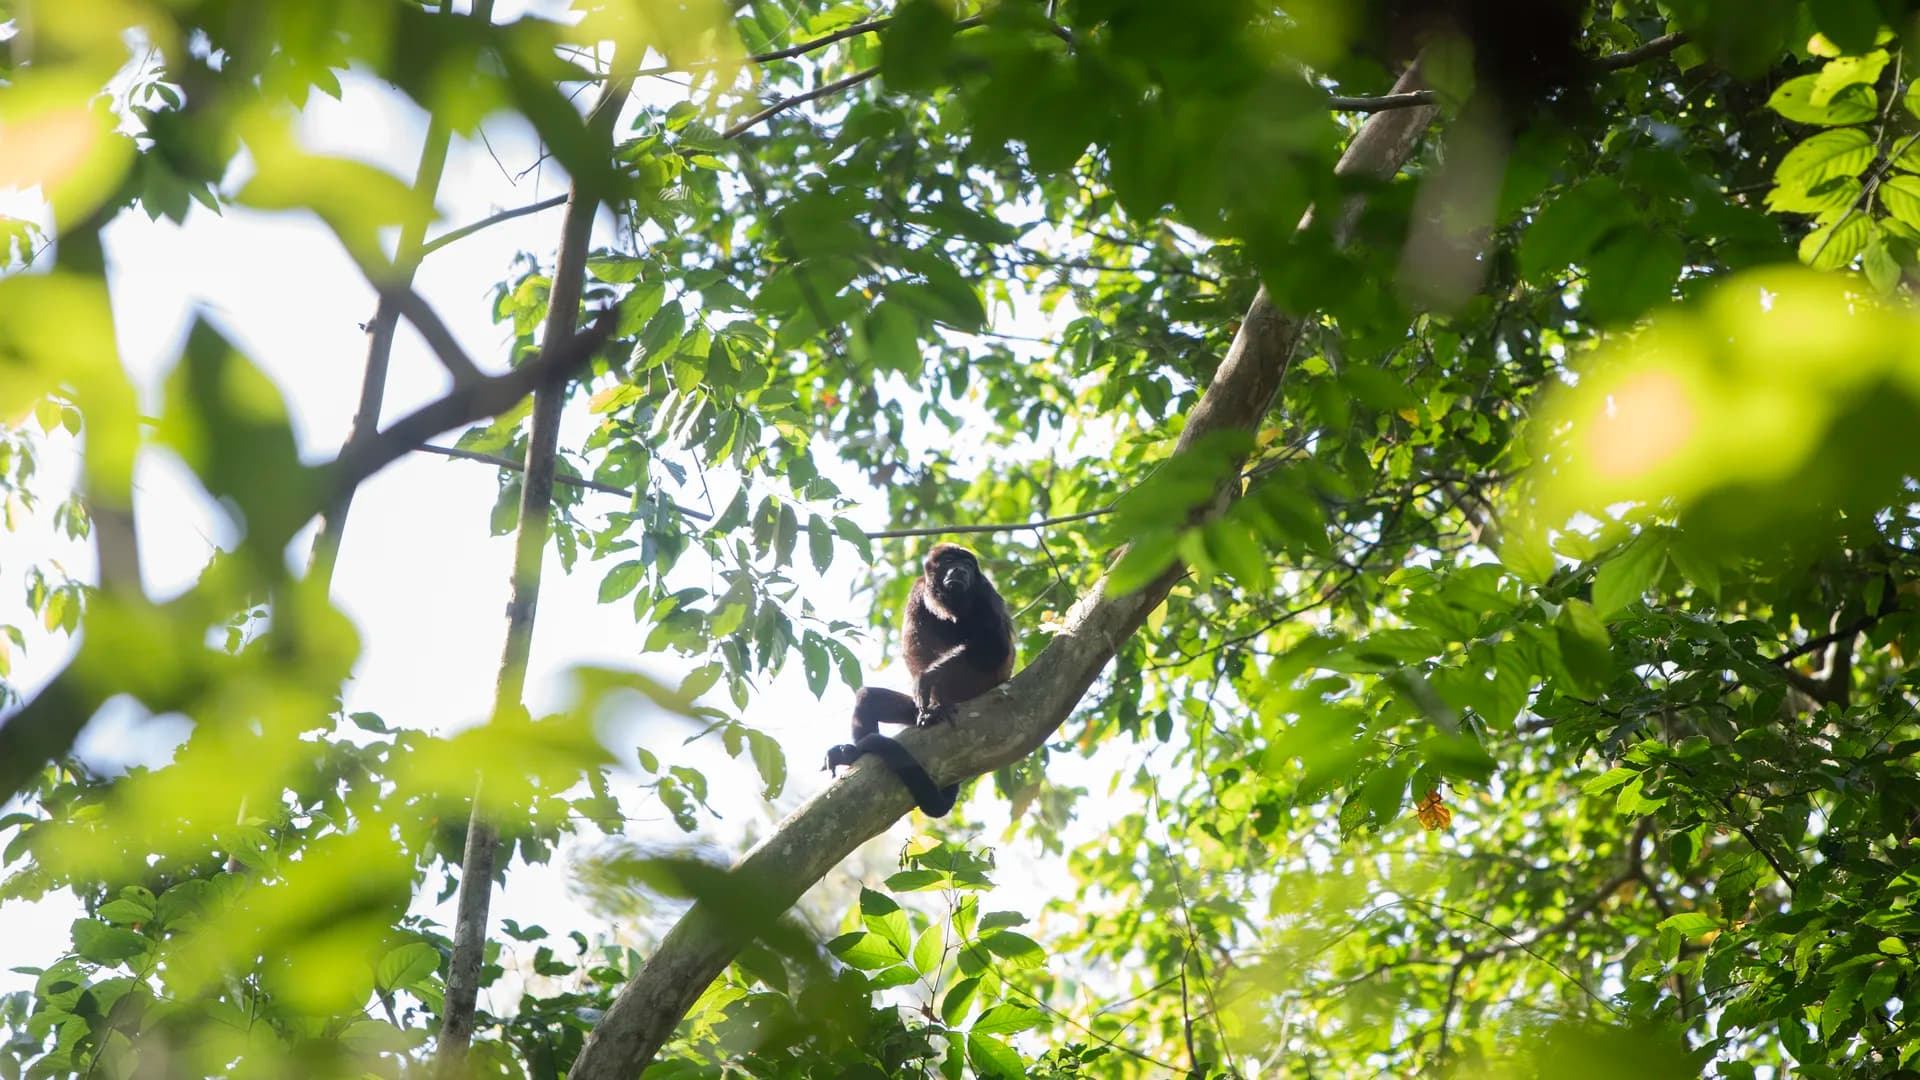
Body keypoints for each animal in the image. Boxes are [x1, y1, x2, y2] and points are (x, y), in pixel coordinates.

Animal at [824, 543, 1015, 817]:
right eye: (950, 561)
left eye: (967, 565)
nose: (960, 570)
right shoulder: (918, 591)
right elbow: (914, 646)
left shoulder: (984, 593)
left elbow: (997, 648)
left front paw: (929, 676)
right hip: (912, 712)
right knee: (868, 698)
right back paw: (854, 752)